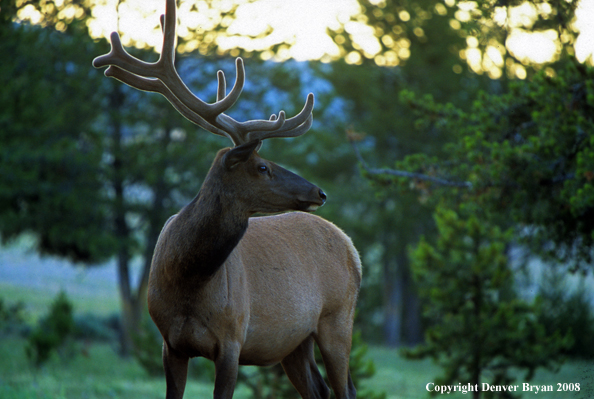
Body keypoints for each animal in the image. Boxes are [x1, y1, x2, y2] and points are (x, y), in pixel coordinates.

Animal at [92, 1, 360, 398]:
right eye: (262, 166)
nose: (319, 192)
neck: (188, 283)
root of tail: (351, 247)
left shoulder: (233, 338)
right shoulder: (170, 343)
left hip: (339, 320)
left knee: (343, 389)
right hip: (295, 341)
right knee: (319, 389)